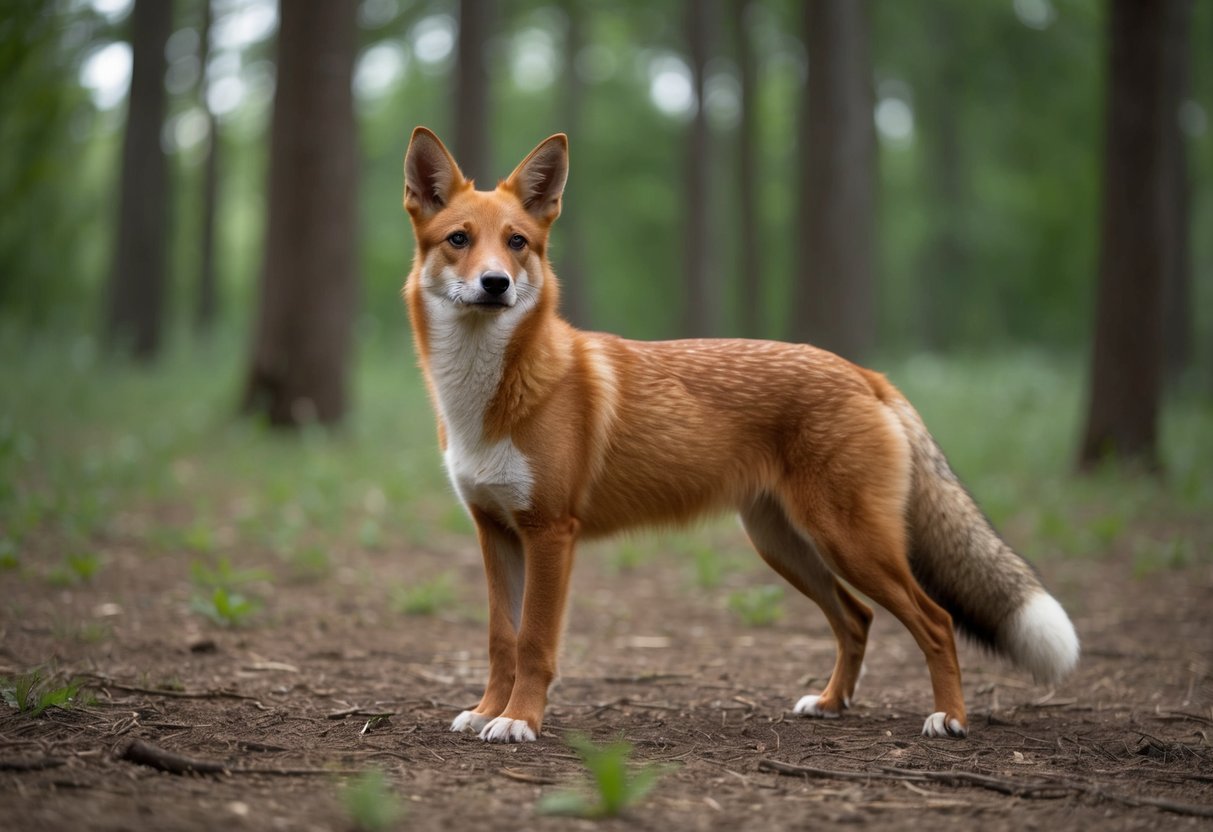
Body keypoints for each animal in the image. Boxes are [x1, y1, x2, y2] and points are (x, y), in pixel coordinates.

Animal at [401, 127, 1080, 744]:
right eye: (459, 240)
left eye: (517, 243)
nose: (495, 284)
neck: (485, 403)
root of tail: (864, 373)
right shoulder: (496, 532)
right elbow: (501, 639)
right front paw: (486, 712)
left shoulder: (549, 534)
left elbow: (535, 643)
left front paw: (520, 721)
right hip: (788, 546)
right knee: (857, 619)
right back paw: (831, 704)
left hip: (851, 543)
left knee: (934, 621)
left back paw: (950, 719)